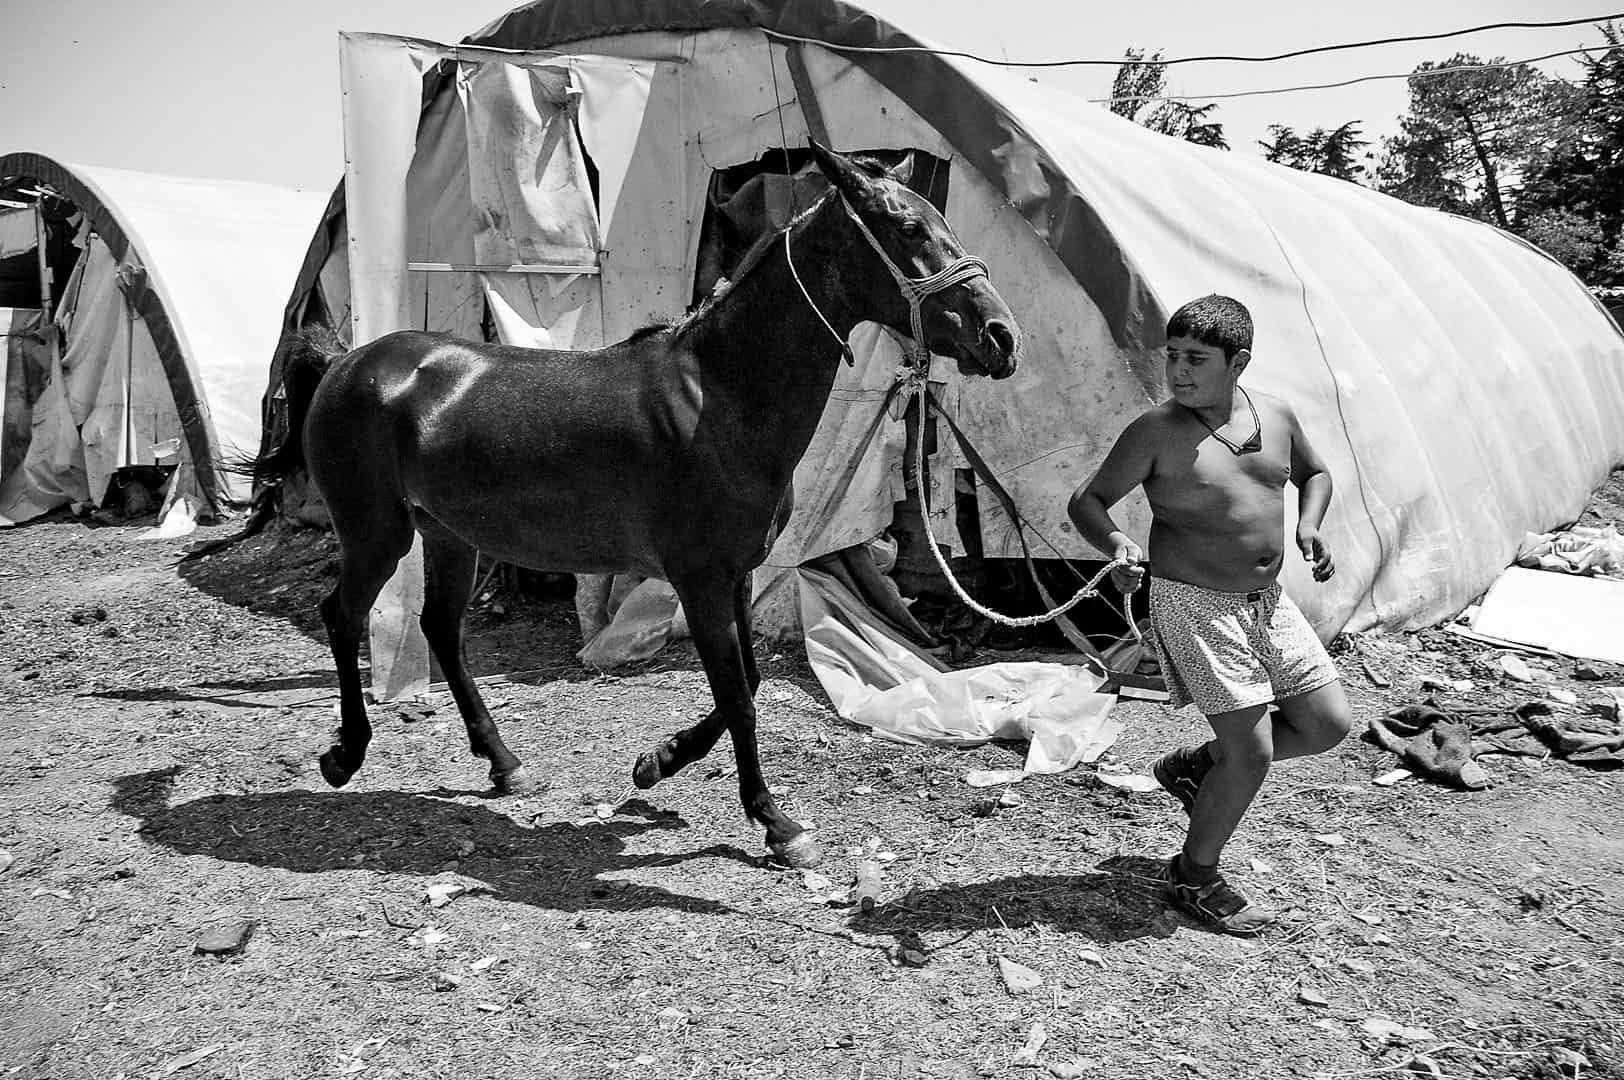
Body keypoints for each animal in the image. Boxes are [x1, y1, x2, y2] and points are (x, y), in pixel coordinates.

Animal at [240, 141, 1021, 869]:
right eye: (907, 226)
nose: (1002, 337)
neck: (720, 398)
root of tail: (346, 363)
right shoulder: (699, 578)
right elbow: (738, 695)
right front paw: (776, 824)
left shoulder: (734, 574)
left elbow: (748, 682)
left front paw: (657, 762)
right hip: (376, 530)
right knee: (343, 616)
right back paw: (345, 756)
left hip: (450, 535)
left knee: (440, 629)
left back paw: (505, 765)